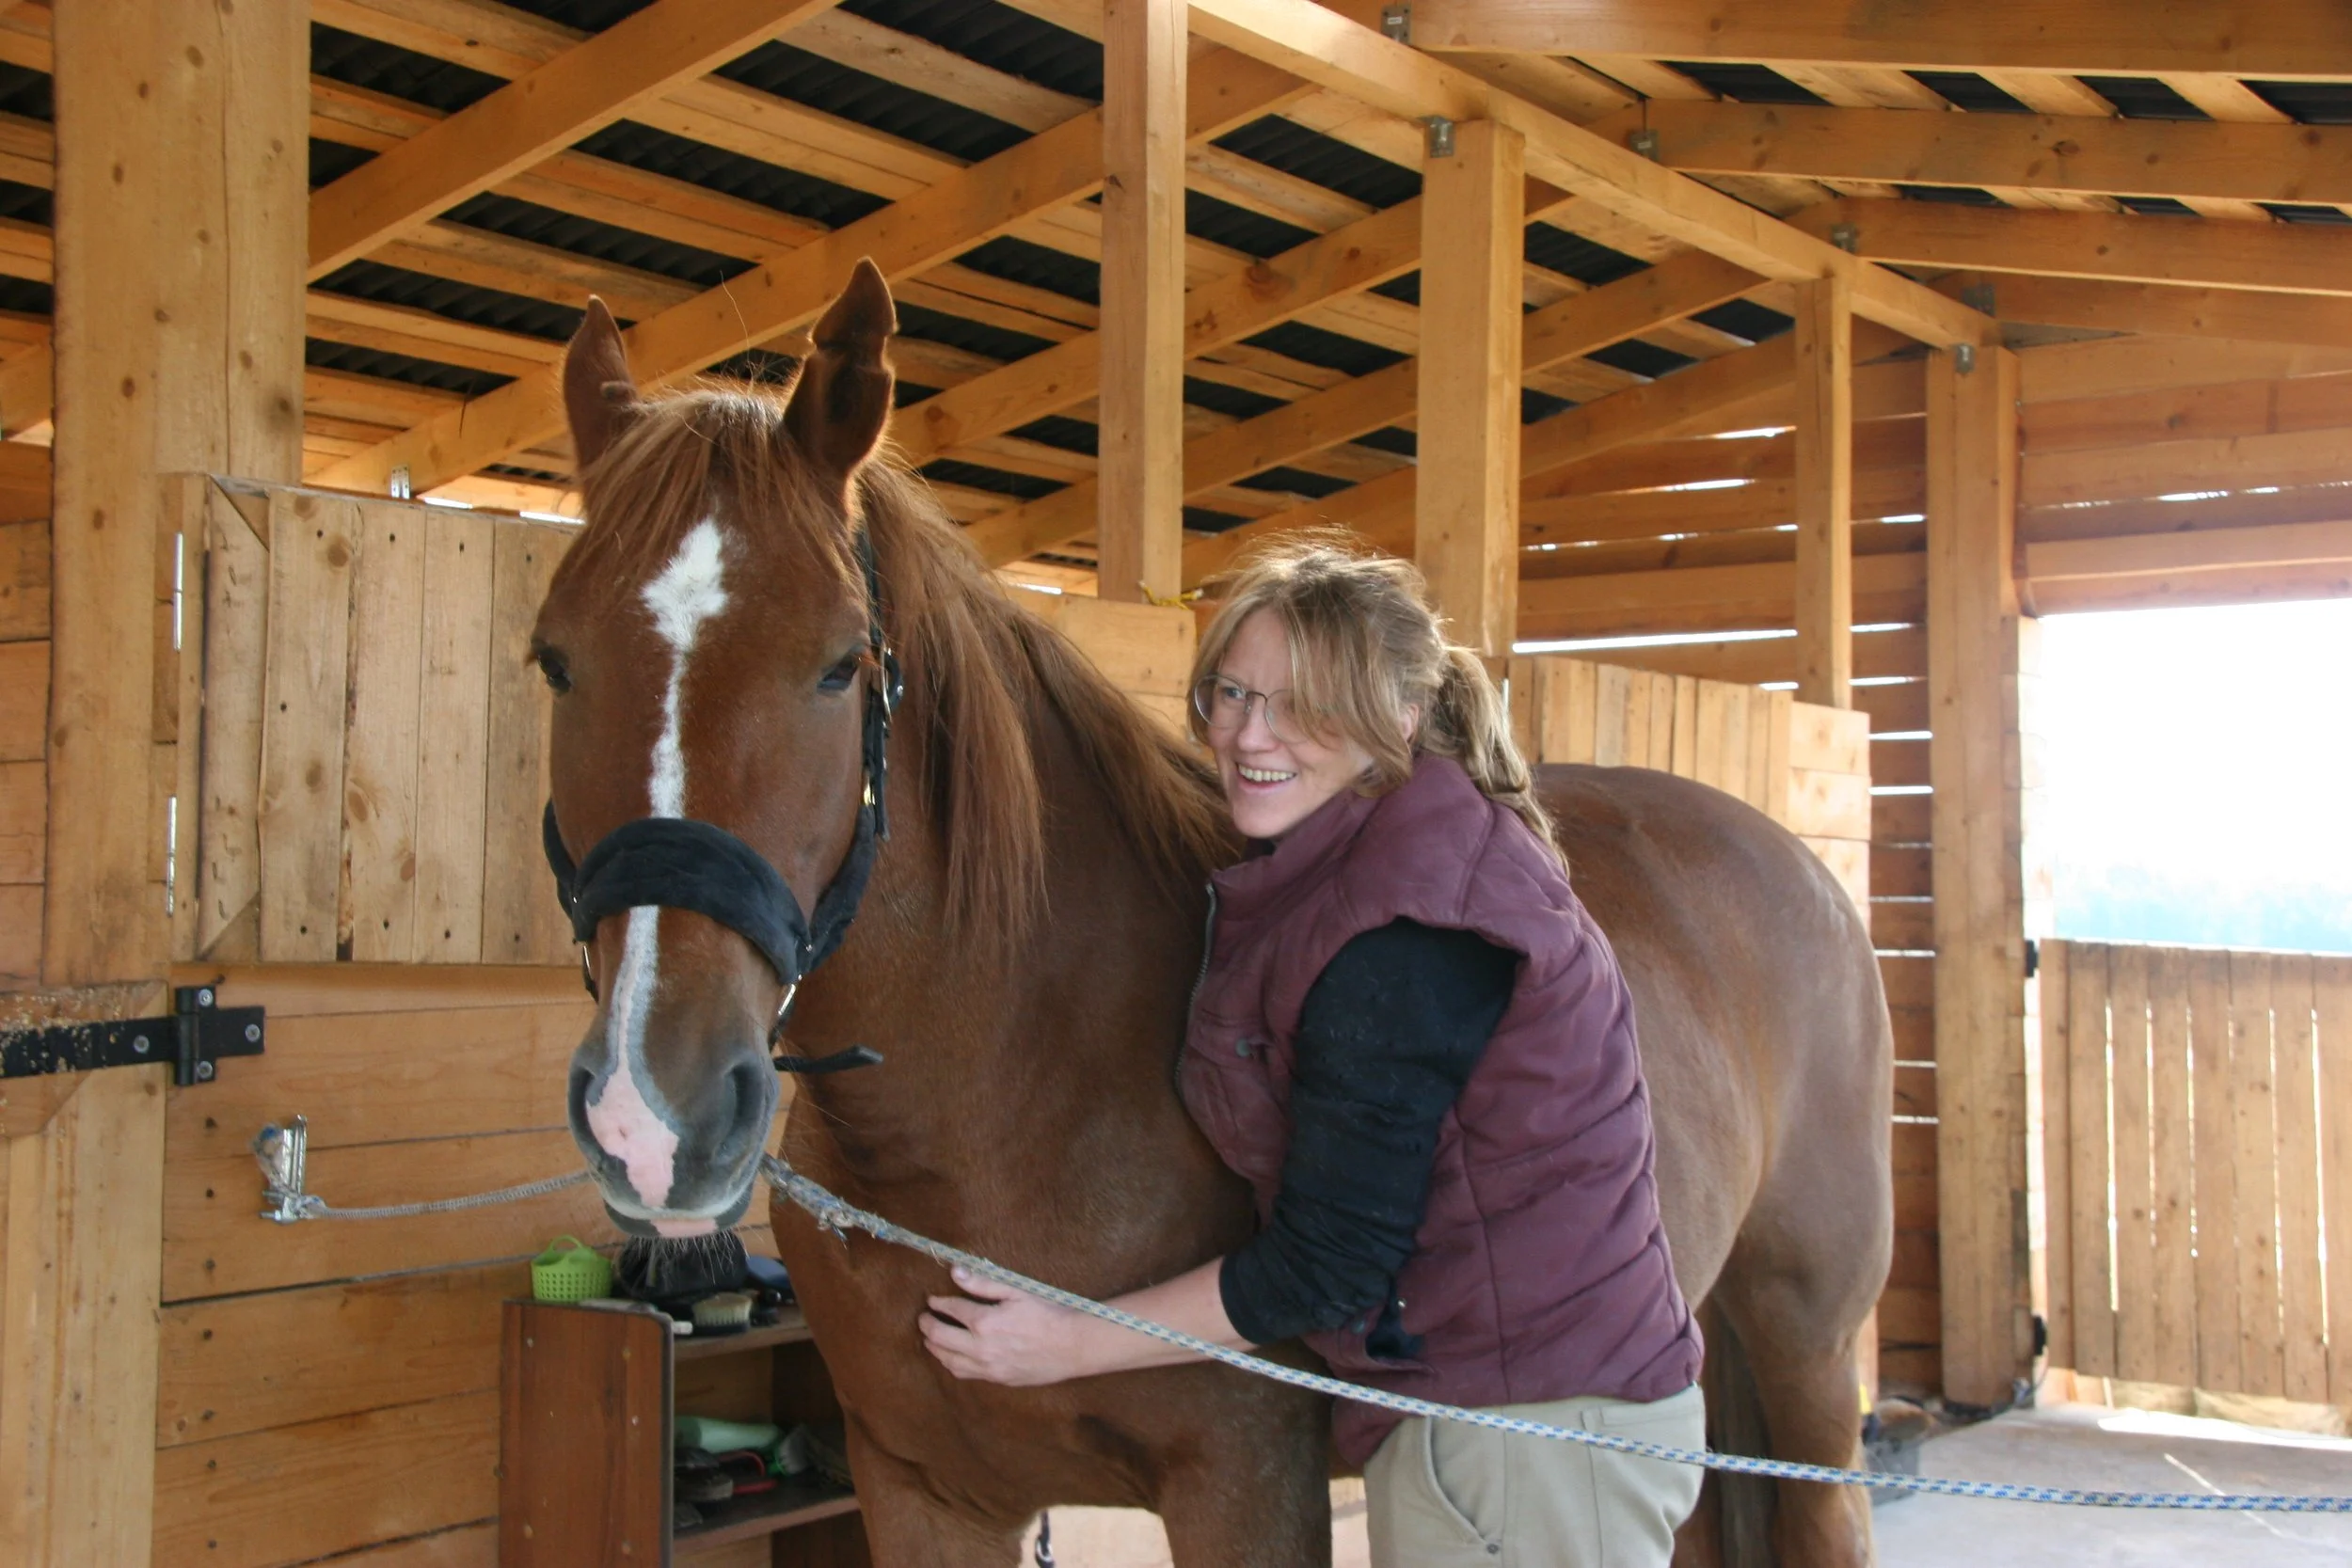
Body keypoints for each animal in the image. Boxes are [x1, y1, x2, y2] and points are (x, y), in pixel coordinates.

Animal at [536, 259, 1892, 1567]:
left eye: (838, 664)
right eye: (552, 658)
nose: (653, 1112)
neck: (1014, 1089)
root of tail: (1801, 866)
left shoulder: (1245, 1486)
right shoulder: (923, 1490)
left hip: (1809, 1360)